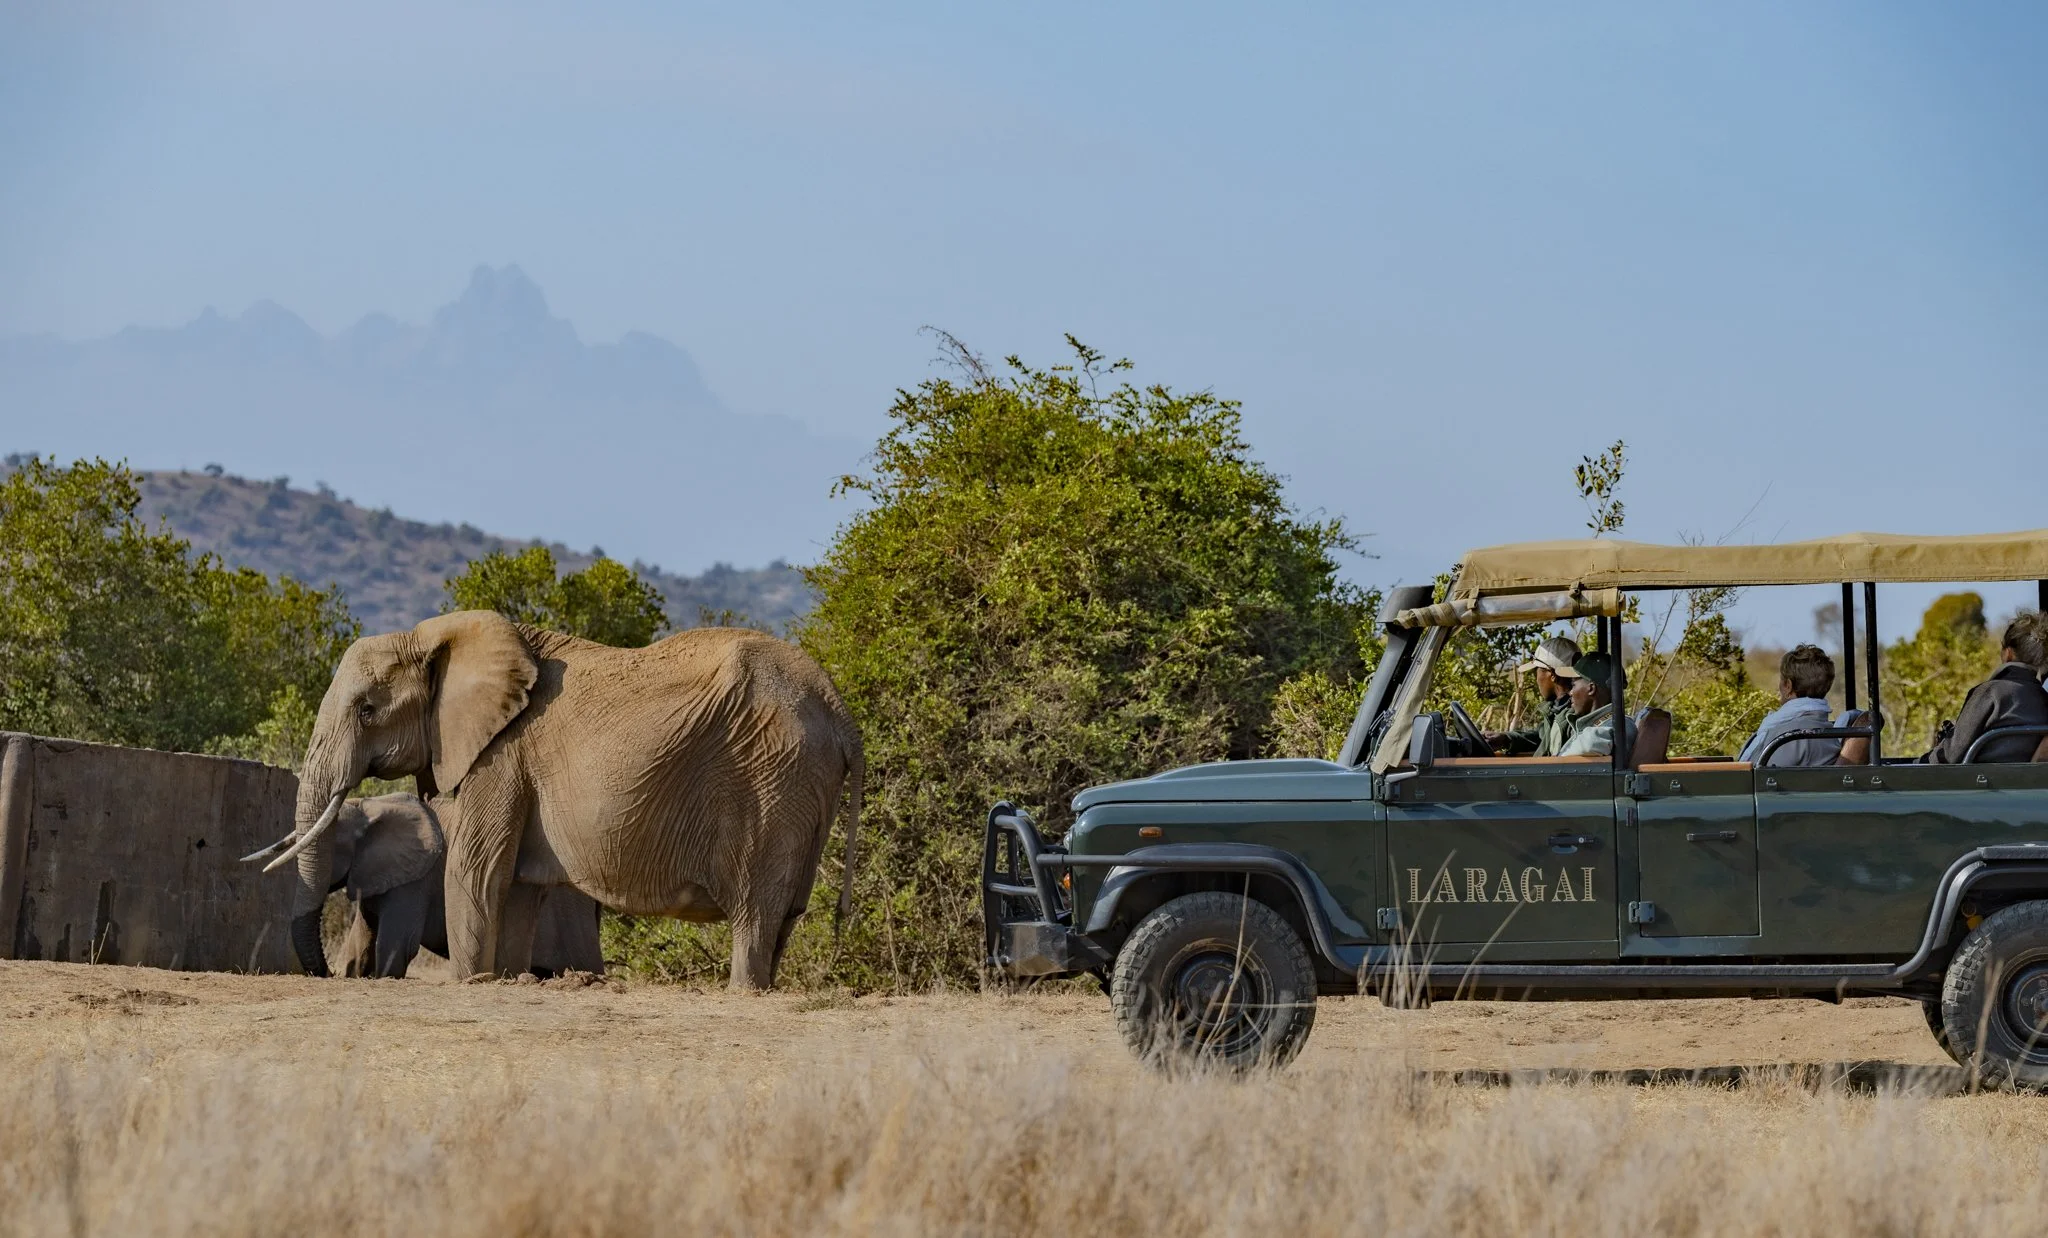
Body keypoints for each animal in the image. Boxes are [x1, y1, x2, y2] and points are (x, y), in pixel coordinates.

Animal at [251, 792, 606, 979]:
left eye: (331, 848)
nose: (328, 973)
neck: (370, 806)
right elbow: (362, 940)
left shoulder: (416, 880)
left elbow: (396, 943)